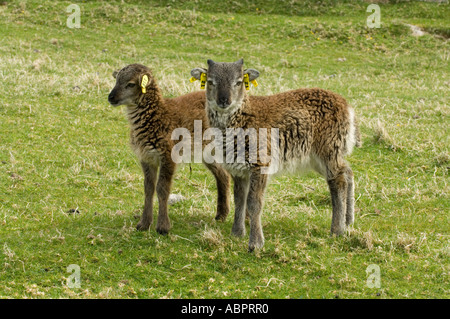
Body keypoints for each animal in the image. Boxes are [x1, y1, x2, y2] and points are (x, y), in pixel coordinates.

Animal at [107, 64, 230, 235]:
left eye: (130, 84)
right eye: (116, 80)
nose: (111, 97)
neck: (157, 116)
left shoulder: (169, 155)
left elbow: (162, 188)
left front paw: (163, 227)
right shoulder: (147, 157)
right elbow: (148, 188)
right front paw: (143, 224)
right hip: (208, 151)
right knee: (223, 175)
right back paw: (221, 215)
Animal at [191, 58, 362, 251]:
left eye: (239, 81)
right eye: (210, 81)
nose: (223, 100)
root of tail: (348, 107)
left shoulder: (261, 163)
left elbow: (254, 202)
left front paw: (255, 243)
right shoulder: (238, 168)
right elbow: (239, 199)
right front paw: (237, 233)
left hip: (328, 148)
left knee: (338, 180)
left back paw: (337, 230)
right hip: (317, 156)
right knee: (347, 171)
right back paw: (348, 221)